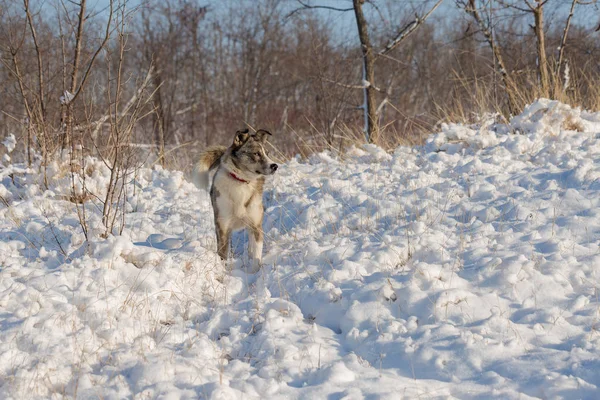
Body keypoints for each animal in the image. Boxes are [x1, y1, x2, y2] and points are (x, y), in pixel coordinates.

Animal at [191, 130, 278, 270]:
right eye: (256, 153)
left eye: (267, 153)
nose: (275, 166)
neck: (241, 182)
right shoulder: (222, 227)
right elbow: (222, 255)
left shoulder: (256, 226)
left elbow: (256, 255)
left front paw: (255, 270)